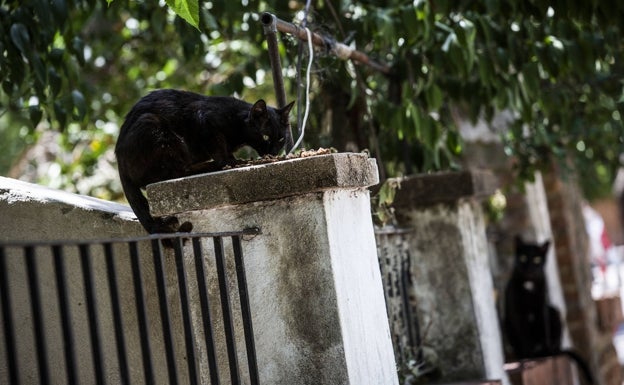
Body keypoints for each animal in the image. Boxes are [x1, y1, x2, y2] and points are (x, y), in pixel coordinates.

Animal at [115, 89, 294, 234]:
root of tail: (119, 161)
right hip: (156, 127)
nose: (273, 152)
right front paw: (232, 163)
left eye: (281, 139)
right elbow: (219, 149)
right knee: (174, 172)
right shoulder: (205, 122)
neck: (238, 121)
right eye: (265, 136)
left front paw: (233, 160)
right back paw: (210, 166)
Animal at [502, 236, 596, 382]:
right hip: (507, 324)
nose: (529, 268)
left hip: (554, 312)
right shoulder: (517, 313)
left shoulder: (542, 308)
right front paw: (529, 355)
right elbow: (525, 335)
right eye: (523, 258)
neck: (529, 285)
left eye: (537, 259)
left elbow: (544, 328)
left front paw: (544, 352)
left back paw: (549, 352)